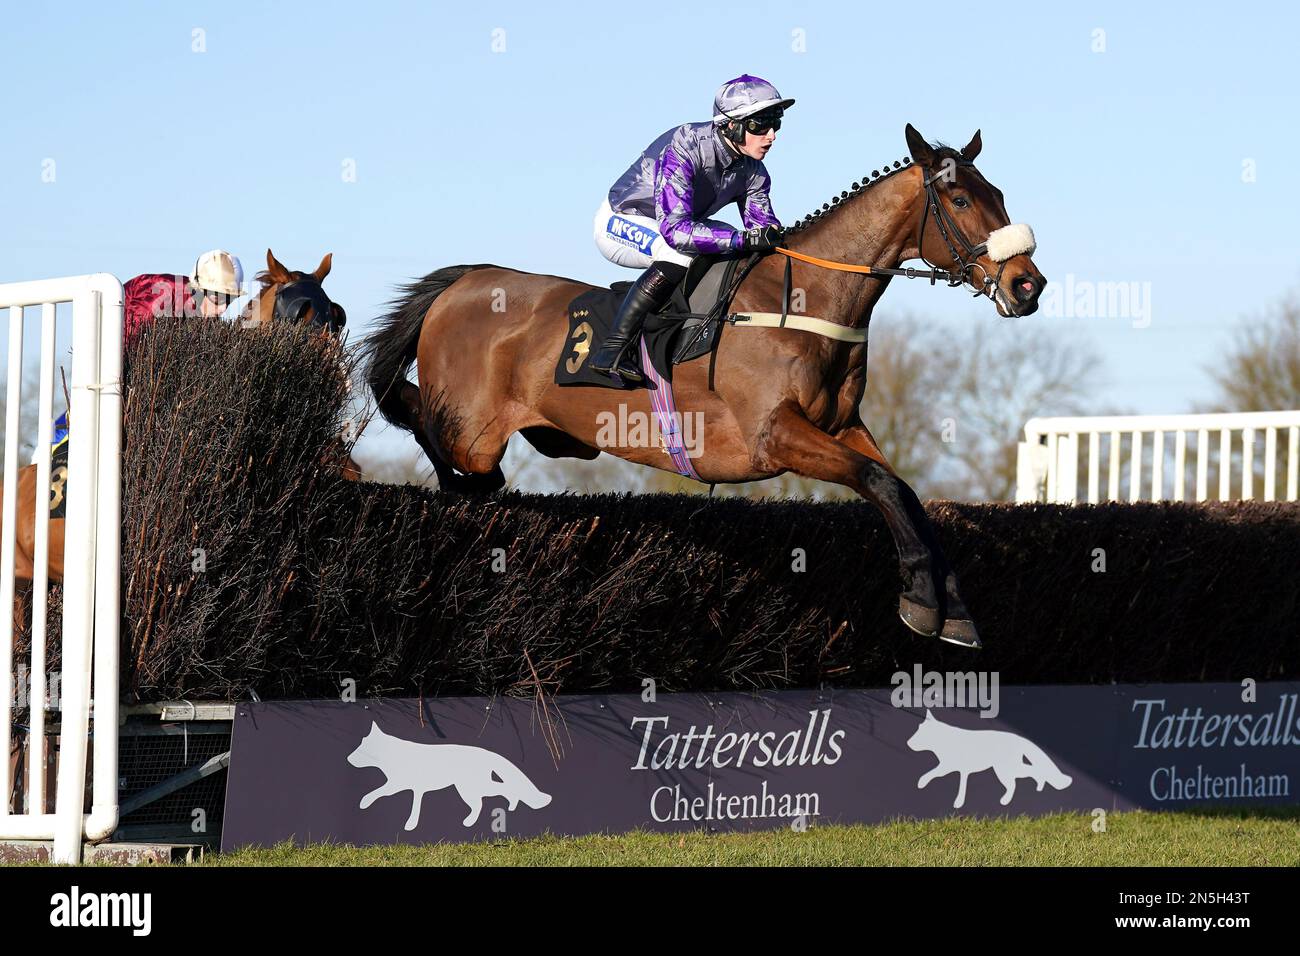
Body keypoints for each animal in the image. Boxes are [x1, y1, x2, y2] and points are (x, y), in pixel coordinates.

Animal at [364, 125, 1045, 650]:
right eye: (959, 199)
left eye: (998, 194)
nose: (1028, 284)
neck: (804, 300)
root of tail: (464, 280)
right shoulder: (774, 434)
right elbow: (880, 483)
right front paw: (923, 603)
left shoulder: (841, 426)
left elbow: (904, 492)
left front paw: (950, 611)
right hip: (470, 431)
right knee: (424, 425)